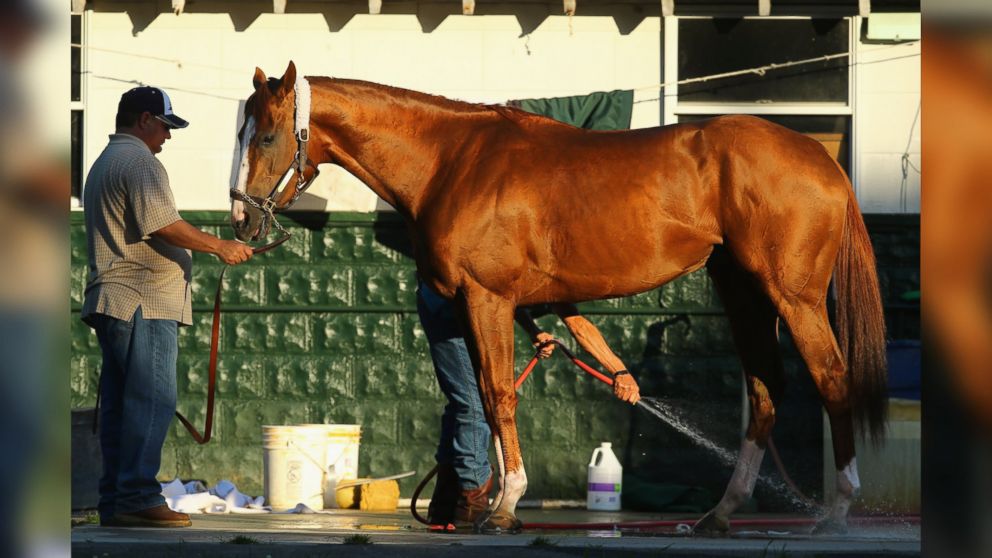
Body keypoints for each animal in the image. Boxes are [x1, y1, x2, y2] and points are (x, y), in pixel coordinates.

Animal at [234, 62, 892, 540]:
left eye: (265, 135)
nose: (240, 219)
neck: (453, 159)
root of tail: (822, 159)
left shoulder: (487, 300)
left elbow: (499, 396)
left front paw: (504, 507)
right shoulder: (491, 306)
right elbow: (489, 395)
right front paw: (498, 503)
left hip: (794, 298)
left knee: (832, 380)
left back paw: (837, 512)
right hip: (744, 294)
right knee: (764, 391)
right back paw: (721, 513)